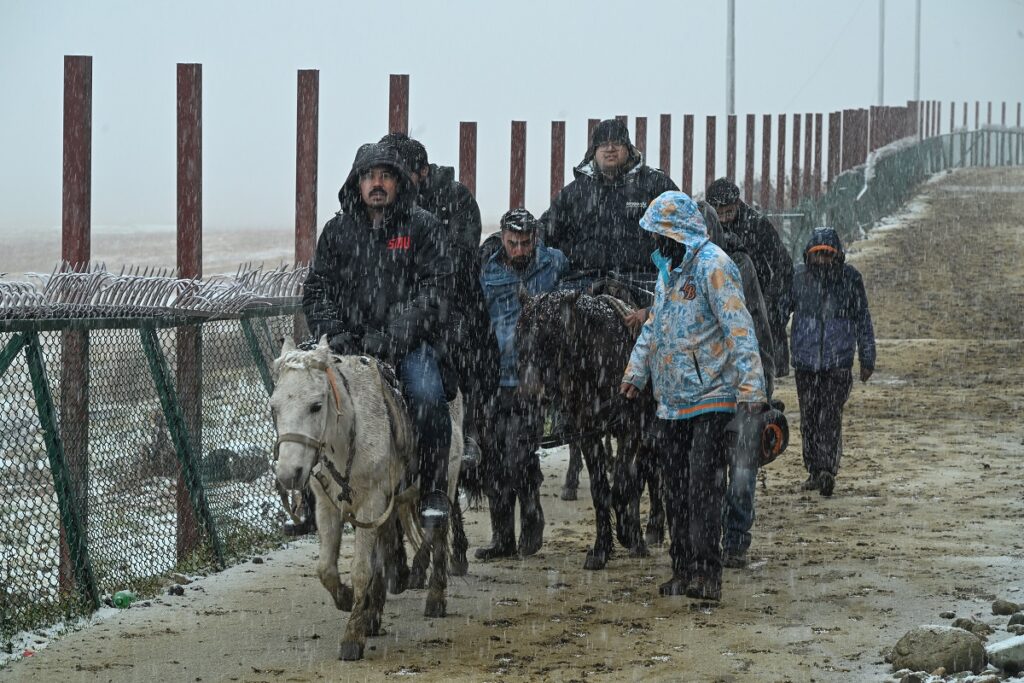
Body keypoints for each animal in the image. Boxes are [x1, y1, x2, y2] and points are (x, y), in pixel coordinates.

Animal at [272, 337, 464, 663]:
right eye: (274, 407)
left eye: (316, 405)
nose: (288, 474)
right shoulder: (328, 506)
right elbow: (326, 569)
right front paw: (349, 601)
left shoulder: (371, 502)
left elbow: (362, 569)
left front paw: (352, 638)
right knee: (388, 547)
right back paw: (377, 609)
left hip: (446, 482)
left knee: (438, 532)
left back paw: (435, 599)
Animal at [512, 290, 663, 573]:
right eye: (518, 340)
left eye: (549, 338)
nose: (527, 398)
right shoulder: (587, 432)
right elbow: (600, 489)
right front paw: (601, 549)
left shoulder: (630, 429)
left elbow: (623, 485)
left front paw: (626, 533)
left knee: (651, 473)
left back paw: (649, 531)